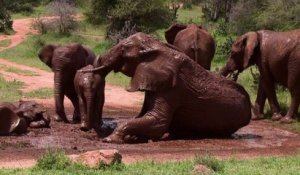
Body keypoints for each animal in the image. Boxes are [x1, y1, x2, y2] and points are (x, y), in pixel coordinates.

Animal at [81, 32, 251, 144]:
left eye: (124, 50)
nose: (88, 130)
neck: (158, 46)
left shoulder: (172, 89)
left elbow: (158, 122)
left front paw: (110, 139)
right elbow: (142, 115)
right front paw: (132, 137)